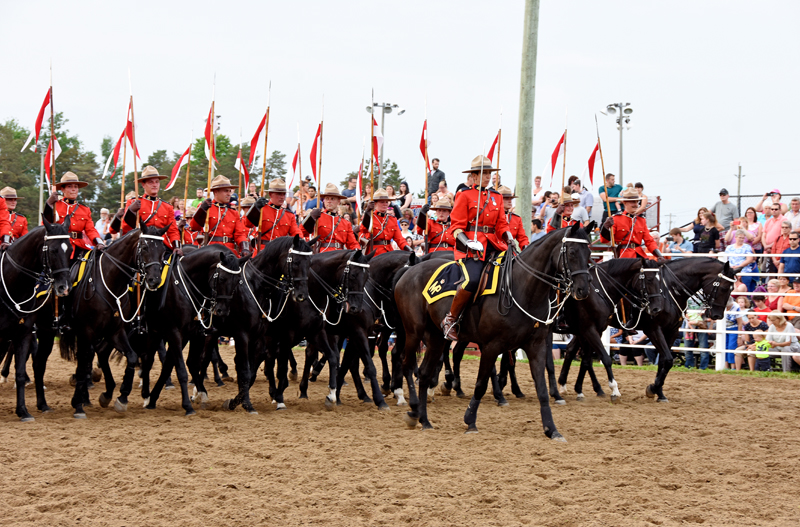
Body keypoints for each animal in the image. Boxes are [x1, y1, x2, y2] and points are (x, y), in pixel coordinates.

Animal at [0, 221, 71, 422]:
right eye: (53, 250)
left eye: (69, 249)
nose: (64, 287)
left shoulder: (23, 332)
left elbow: (20, 372)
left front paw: (23, 411)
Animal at [58, 229, 168, 418]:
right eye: (145, 247)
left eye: (162, 251)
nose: (154, 280)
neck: (109, 282)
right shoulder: (87, 332)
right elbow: (84, 363)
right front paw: (78, 403)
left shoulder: (116, 331)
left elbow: (132, 357)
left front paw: (122, 397)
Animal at [396, 224, 592, 442]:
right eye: (572, 252)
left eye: (589, 253)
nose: (583, 290)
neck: (522, 288)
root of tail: (410, 270)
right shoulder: (491, 346)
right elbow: (481, 383)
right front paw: (470, 421)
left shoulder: (536, 346)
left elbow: (541, 388)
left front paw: (552, 429)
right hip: (414, 332)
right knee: (407, 364)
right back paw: (414, 408)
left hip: (436, 338)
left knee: (423, 373)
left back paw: (424, 420)